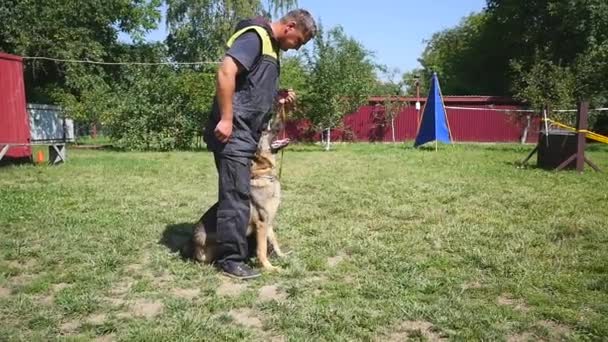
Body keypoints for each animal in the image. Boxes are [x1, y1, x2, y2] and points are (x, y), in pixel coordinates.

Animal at [194, 111, 288, 272]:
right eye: (265, 131)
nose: (280, 117)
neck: (263, 174)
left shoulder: (268, 223)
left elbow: (275, 241)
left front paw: (281, 256)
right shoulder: (262, 225)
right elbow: (262, 249)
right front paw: (269, 267)